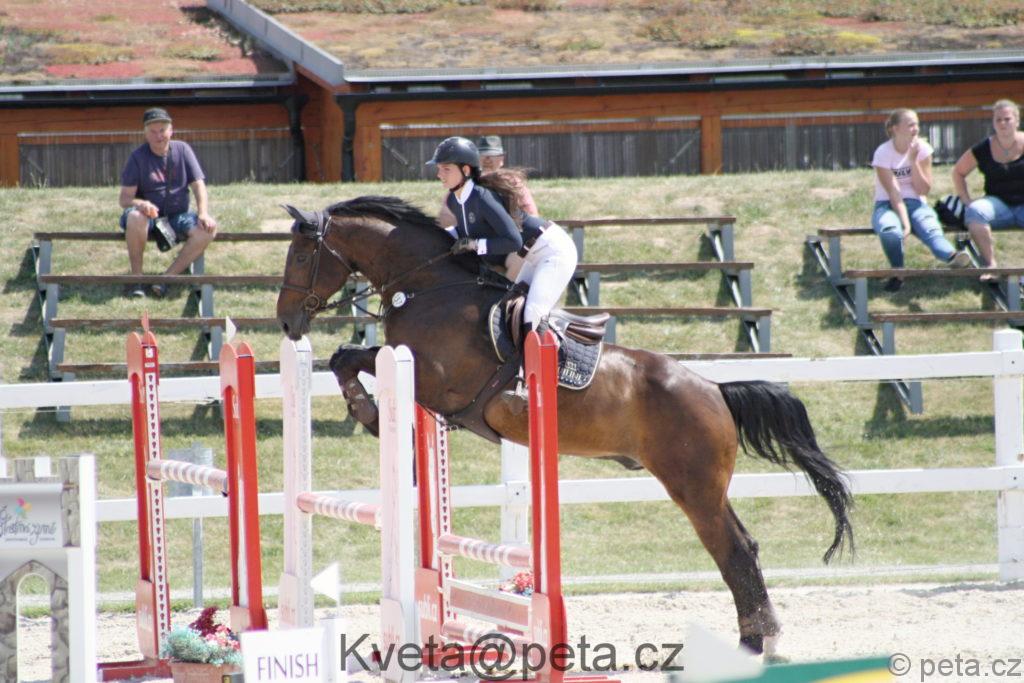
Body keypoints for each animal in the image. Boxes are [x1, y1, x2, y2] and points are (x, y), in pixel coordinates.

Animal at [276, 195, 853, 656]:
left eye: (302, 255)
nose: (286, 321)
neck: (427, 288)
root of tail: (714, 390)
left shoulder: (437, 381)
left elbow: (355, 357)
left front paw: (369, 412)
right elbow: (345, 356)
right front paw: (367, 412)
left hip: (694, 486)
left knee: (734, 550)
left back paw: (756, 640)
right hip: (703, 484)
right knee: (742, 547)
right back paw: (758, 636)